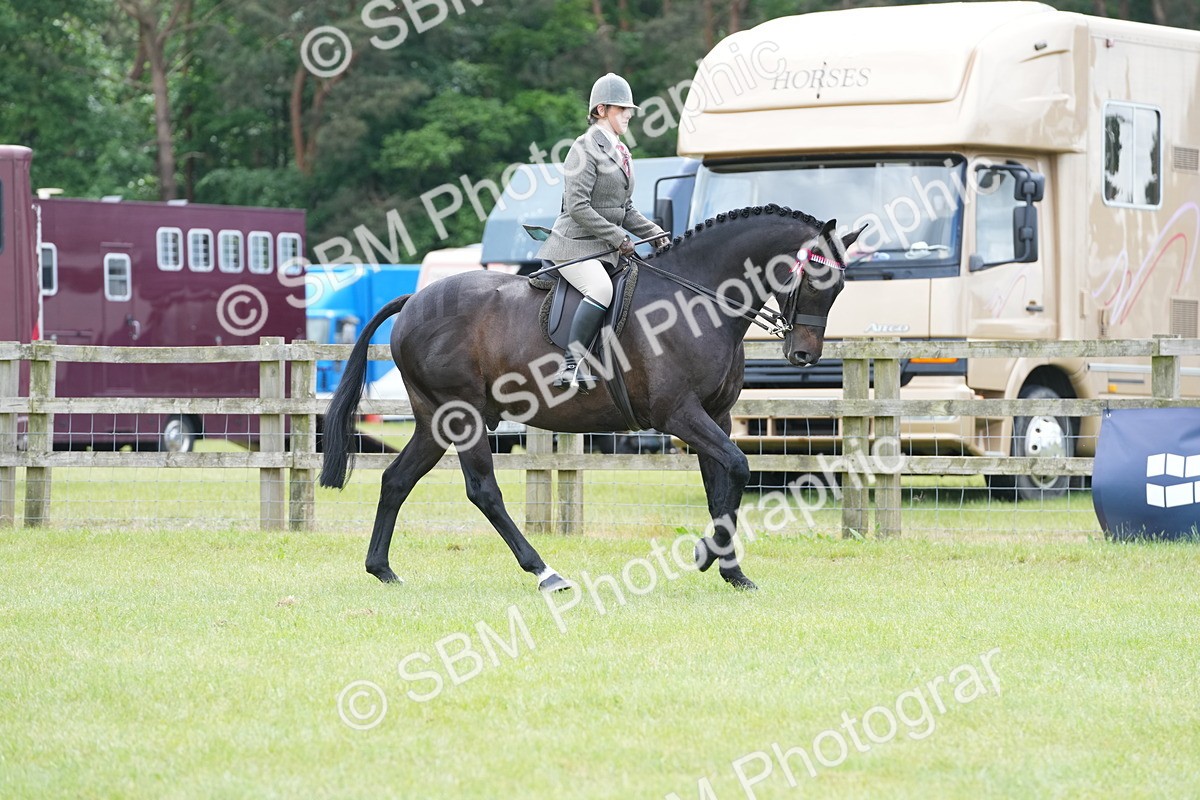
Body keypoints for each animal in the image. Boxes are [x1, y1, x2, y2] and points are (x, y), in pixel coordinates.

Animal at [319, 204, 865, 592]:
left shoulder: (717, 416)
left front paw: (731, 571)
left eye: (840, 287)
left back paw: (382, 569)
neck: (698, 299)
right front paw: (708, 555)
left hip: (435, 420)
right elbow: (737, 468)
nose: (803, 354)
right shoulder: (679, 415)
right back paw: (545, 573)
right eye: (814, 278)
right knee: (483, 491)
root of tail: (414, 300)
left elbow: (721, 483)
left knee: (396, 480)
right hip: (465, 416)